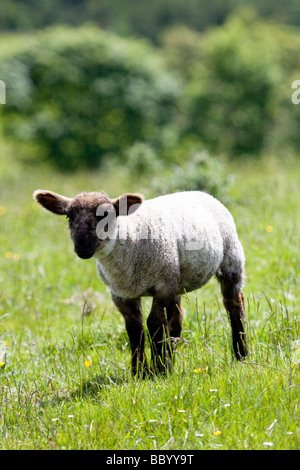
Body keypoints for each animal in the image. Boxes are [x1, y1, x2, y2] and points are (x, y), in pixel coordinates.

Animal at [34, 189, 247, 376]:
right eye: (69, 216)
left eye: (106, 215)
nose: (82, 246)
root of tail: (198, 192)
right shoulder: (121, 294)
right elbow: (135, 329)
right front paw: (138, 371)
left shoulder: (161, 286)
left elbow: (154, 324)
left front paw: (158, 369)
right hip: (175, 278)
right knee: (176, 321)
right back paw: (172, 359)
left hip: (230, 258)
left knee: (234, 304)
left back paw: (241, 354)